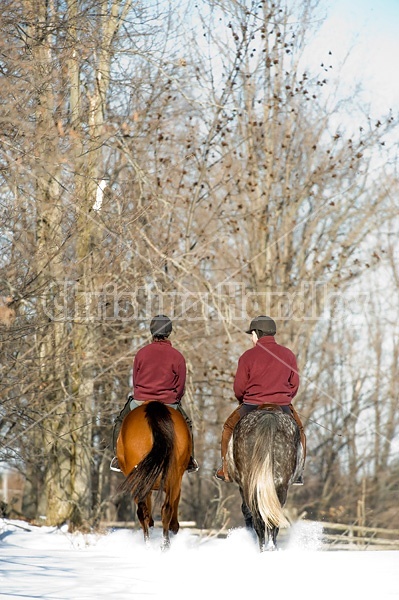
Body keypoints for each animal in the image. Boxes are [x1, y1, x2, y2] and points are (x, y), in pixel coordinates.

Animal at [116, 400, 191, 552]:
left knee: (146, 511)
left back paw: (152, 544)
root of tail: (153, 408)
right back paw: (163, 544)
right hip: (172, 477)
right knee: (164, 509)